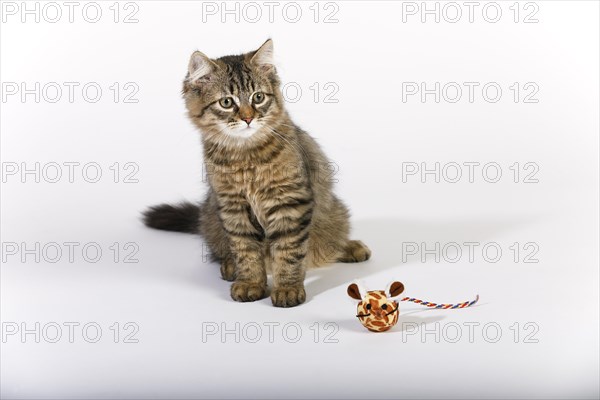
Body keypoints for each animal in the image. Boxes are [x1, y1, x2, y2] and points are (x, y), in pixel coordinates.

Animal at [144, 39, 370, 306]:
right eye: (227, 102)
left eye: (258, 97)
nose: (248, 118)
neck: (246, 157)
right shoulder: (232, 205)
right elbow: (246, 250)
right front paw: (251, 283)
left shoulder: (289, 201)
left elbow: (288, 250)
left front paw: (287, 288)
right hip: (212, 217)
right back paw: (230, 267)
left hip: (335, 212)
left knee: (330, 242)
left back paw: (351, 247)